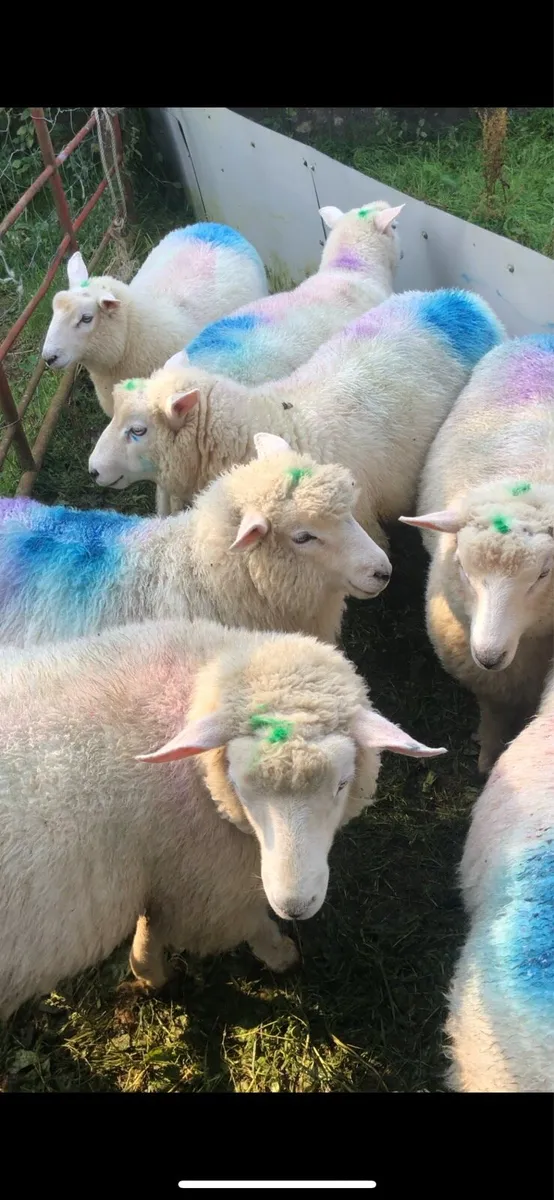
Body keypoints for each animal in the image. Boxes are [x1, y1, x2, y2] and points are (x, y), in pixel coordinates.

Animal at [0, 616, 446, 1020]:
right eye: (239, 786)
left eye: (342, 784)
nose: (294, 906)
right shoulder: (210, 885)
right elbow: (250, 923)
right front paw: (281, 955)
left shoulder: (171, 879)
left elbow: (150, 929)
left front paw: (149, 974)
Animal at [400, 334, 554, 774]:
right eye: (465, 571)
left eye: (542, 574)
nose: (488, 655)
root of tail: (542, 336)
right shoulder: (486, 679)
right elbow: (492, 713)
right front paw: (487, 756)